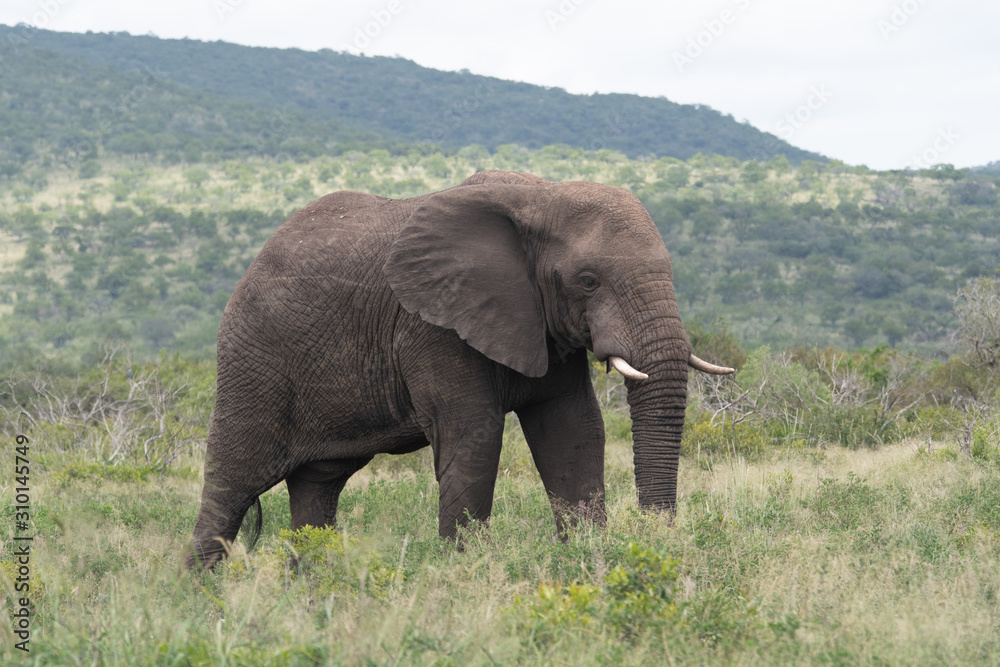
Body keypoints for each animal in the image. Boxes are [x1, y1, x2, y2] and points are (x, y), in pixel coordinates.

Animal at [188, 171, 736, 568]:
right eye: (588, 281)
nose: (658, 539)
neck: (539, 194)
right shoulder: (433, 324)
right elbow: (475, 435)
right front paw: (464, 575)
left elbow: (573, 429)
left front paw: (589, 562)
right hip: (252, 361)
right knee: (231, 484)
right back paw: (205, 599)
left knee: (317, 486)